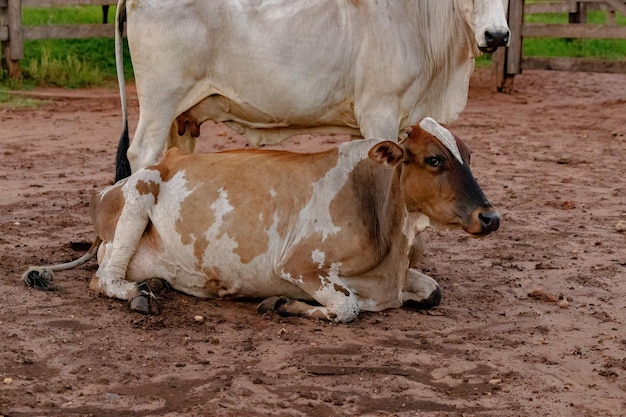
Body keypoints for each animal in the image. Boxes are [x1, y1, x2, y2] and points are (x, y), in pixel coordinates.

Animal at [25, 118, 498, 324]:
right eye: (434, 159)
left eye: (469, 156)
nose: (489, 217)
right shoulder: (297, 265)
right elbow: (347, 307)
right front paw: (284, 303)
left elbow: (432, 292)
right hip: (139, 194)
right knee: (103, 278)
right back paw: (140, 294)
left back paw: (156, 283)